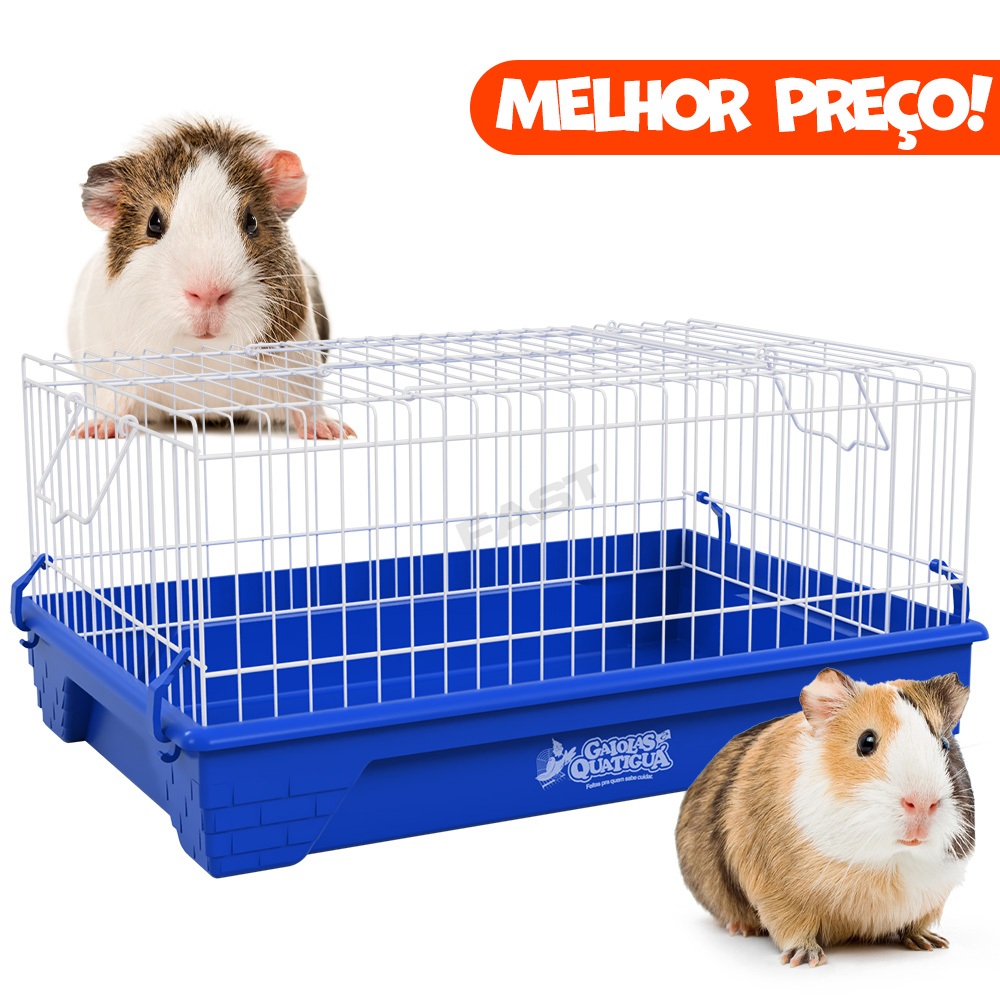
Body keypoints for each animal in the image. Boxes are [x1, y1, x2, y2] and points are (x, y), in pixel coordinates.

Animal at [68, 118, 353, 440]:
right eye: (153, 222)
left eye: (251, 222)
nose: (208, 293)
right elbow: (113, 401)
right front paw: (92, 431)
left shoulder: (299, 363)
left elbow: (305, 404)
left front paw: (334, 431)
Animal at [675, 669, 974, 968]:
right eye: (866, 742)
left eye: (944, 744)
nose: (923, 803)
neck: (890, 863)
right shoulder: (779, 894)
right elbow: (793, 929)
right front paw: (805, 959)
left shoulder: (933, 894)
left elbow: (916, 923)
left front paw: (931, 943)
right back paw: (743, 929)